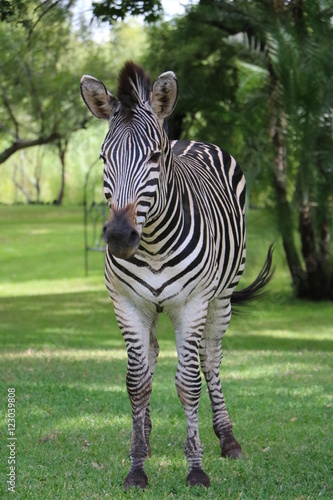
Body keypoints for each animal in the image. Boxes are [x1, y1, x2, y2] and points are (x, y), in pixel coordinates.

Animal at [80, 61, 272, 488]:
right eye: (103, 157)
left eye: (154, 156)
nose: (119, 237)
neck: (152, 244)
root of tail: (190, 140)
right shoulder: (127, 303)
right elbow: (137, 384)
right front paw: (136, 466)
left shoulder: (192, 304)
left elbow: (189, 383)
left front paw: (196, 468)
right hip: (151, 308)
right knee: (151, 359)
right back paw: (147, 436)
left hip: (221, 299)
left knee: (210, 359)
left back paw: (228, 439)